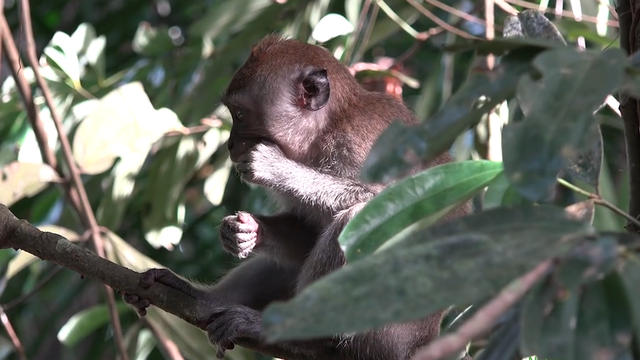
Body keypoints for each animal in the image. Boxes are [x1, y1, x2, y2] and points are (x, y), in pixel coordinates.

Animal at [124, 34, 470, 360]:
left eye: (240, 114)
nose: (230, 145)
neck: (326, 130)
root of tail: (422, 342)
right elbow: (304, 235)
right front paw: (245, 232)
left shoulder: (364, 140)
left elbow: (393, 198)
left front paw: (272, 165)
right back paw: (203, 300)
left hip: (386, 330)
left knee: (358, 218)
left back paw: (304, 336)